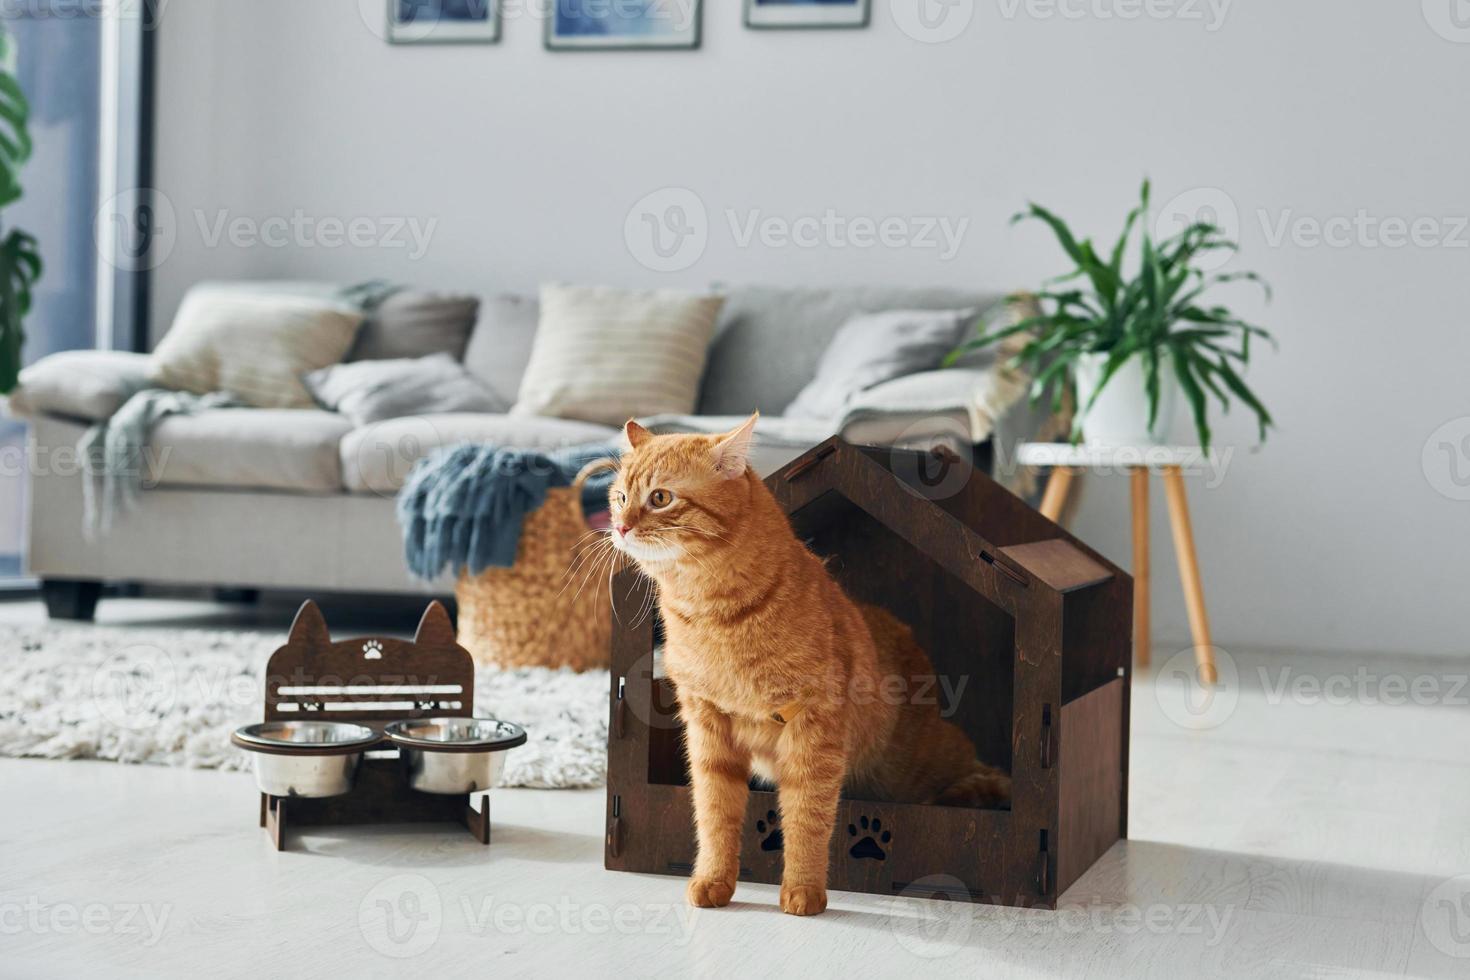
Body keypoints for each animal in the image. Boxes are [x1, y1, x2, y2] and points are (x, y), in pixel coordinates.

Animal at [602, 417, 1005, 922]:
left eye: (660, 498)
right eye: (620, 497)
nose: (619, 527)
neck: (714, 615)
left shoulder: (814, 732)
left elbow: (808, 817)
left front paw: (803, 890)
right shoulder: (708, 728)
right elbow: (714, 814)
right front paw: (714, 880)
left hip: (916, 764)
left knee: (975, 769)